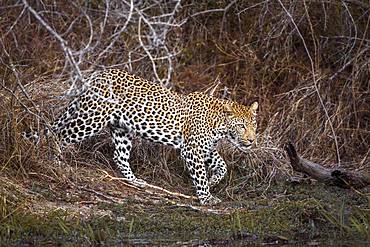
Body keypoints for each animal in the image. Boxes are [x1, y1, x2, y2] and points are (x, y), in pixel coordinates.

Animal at [26, 69, 258, 205]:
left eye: (254, 124)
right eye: (241, 126)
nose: (252, 140)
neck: (219, 125)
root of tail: (99, 75)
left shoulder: (205, 148)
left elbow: (222, 166)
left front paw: (213, 180)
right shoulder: (191, 150)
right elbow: (200, 175)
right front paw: (206, 197)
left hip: (121, 129)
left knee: (119, 156)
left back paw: (135, 181)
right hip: (91, 118)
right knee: (58, 135)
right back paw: (56, 162)